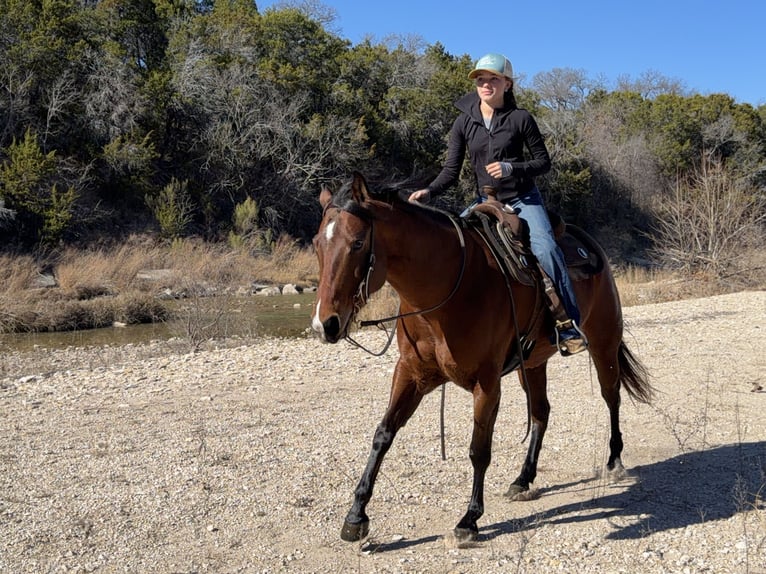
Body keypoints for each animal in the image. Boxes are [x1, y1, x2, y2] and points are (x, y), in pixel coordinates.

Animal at [311, 172, 652, 543]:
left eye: (358, 243)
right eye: (316, 243)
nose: (325, 324)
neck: (444, 293)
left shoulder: (486, 384)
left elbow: (479, 449)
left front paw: (469, 519)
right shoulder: (411, 374)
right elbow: (383, 434)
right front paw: (356, 516)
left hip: (604, 342)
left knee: (611, 396)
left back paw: (614, 461)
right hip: (532, 364)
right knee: (541, 413)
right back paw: (523, 479)